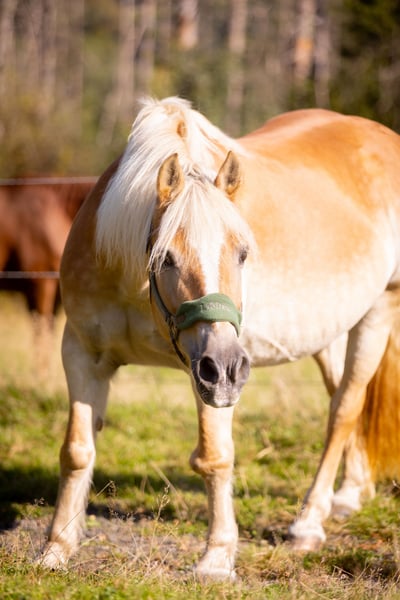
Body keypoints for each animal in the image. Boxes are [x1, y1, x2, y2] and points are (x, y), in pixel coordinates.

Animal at [39, 97, 400, 580]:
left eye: (243, 253)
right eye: (166, 258)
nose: (227, 366)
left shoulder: (212, 378)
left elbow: (214, 456)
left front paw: (216, 557)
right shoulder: (82, 352)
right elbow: (77, 451)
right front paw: (56, 550)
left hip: (378, 310)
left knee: (345, 407)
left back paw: (309, 521)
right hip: (328, 331)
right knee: (345, 401)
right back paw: (349, 495)